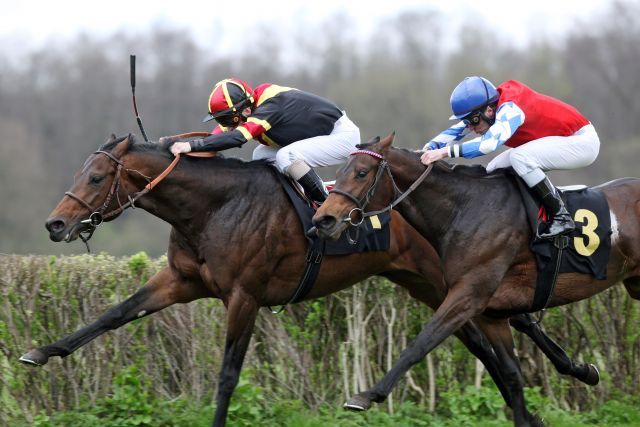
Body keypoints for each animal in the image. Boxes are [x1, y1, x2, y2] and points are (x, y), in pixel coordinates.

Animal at [21, 135, 596, 427]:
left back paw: (578, 371)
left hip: (451, 280)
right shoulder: (182, 280)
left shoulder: (244, 296)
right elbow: (114, 313)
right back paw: (552, 391)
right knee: (488, 342)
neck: (214, 207)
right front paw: (42, 351)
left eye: (96, 177)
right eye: (82, 173)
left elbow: (228, 374)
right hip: (425, 283)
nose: (55, 224)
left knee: (513, 324)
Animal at [312, 133, 640, 424]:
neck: (465, 209)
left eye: (361, 173)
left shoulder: (468, 295)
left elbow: (420, 343)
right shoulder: (490, 313)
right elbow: (512, 374)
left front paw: (367, 395)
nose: (322, 220)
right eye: (338, 172)